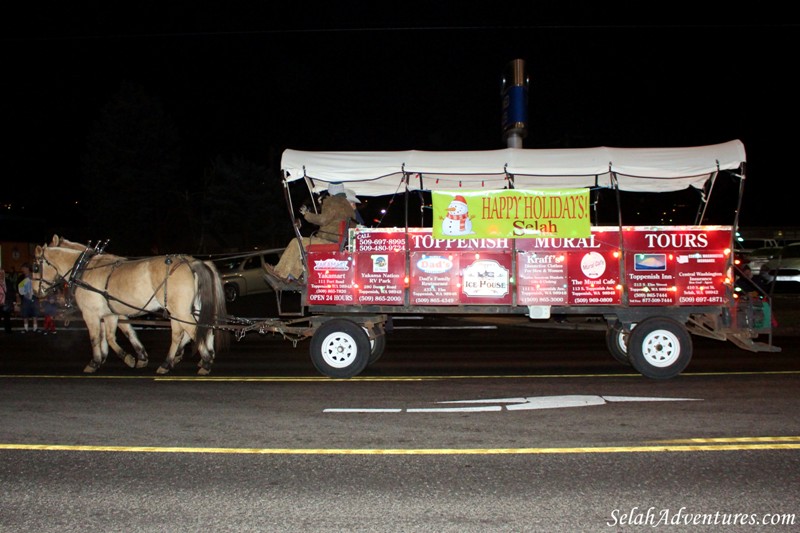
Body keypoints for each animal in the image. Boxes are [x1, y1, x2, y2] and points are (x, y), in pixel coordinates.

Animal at [33, 233, 228, 374]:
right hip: (187, 309)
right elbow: (117, 335)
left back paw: (202, 361)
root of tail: (192, 262)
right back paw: (175, 361)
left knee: (192, 331)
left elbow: (97, 337)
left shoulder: (90, 313)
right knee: (195, 330)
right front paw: (136, 357)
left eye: (35, 267)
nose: (36, 293)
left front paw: (96, 362)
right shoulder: (112, 313)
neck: (84, 268)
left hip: (179, 310)